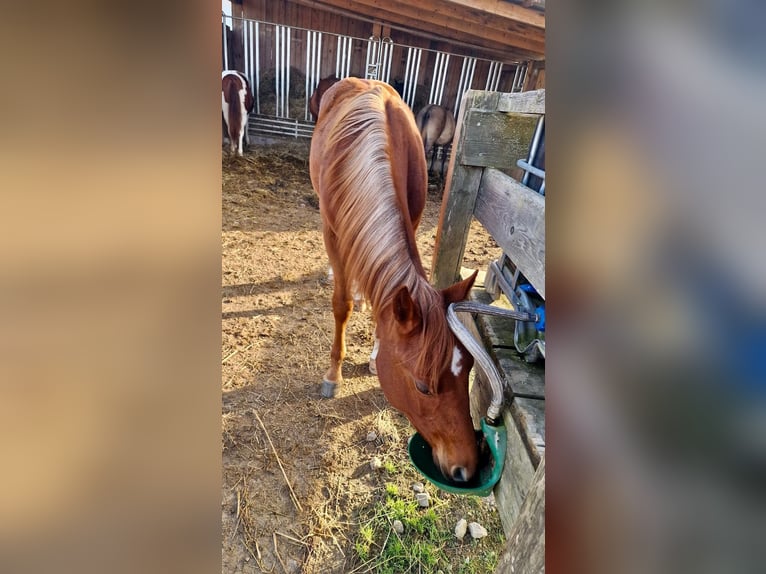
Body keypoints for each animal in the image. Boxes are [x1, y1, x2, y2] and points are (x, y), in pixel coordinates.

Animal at [309, 77, 480, 483]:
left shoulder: (411, 219)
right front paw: (333, 374)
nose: (467, 468)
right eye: (423, 387)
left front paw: (375, 354)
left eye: (467, 370)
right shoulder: (333, 234)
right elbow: (342, 305)